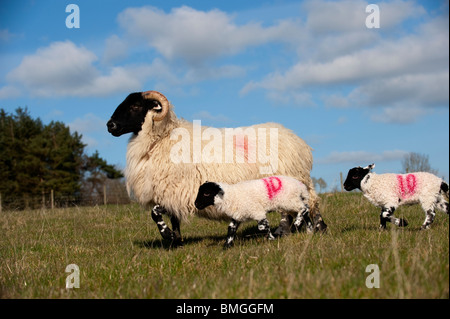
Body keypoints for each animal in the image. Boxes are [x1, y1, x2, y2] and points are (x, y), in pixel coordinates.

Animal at [109, 90, 326, 248]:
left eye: (136, 105)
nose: (109, 125)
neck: (161, 138)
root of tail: (299, 141)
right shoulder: (171, 193)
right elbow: (173, 218)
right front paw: (176, 241)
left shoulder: (178, 193)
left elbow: (156, 214)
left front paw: (168, 236)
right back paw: (301, 230)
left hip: (291, 180)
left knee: (306, 206)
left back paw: (307, 229)